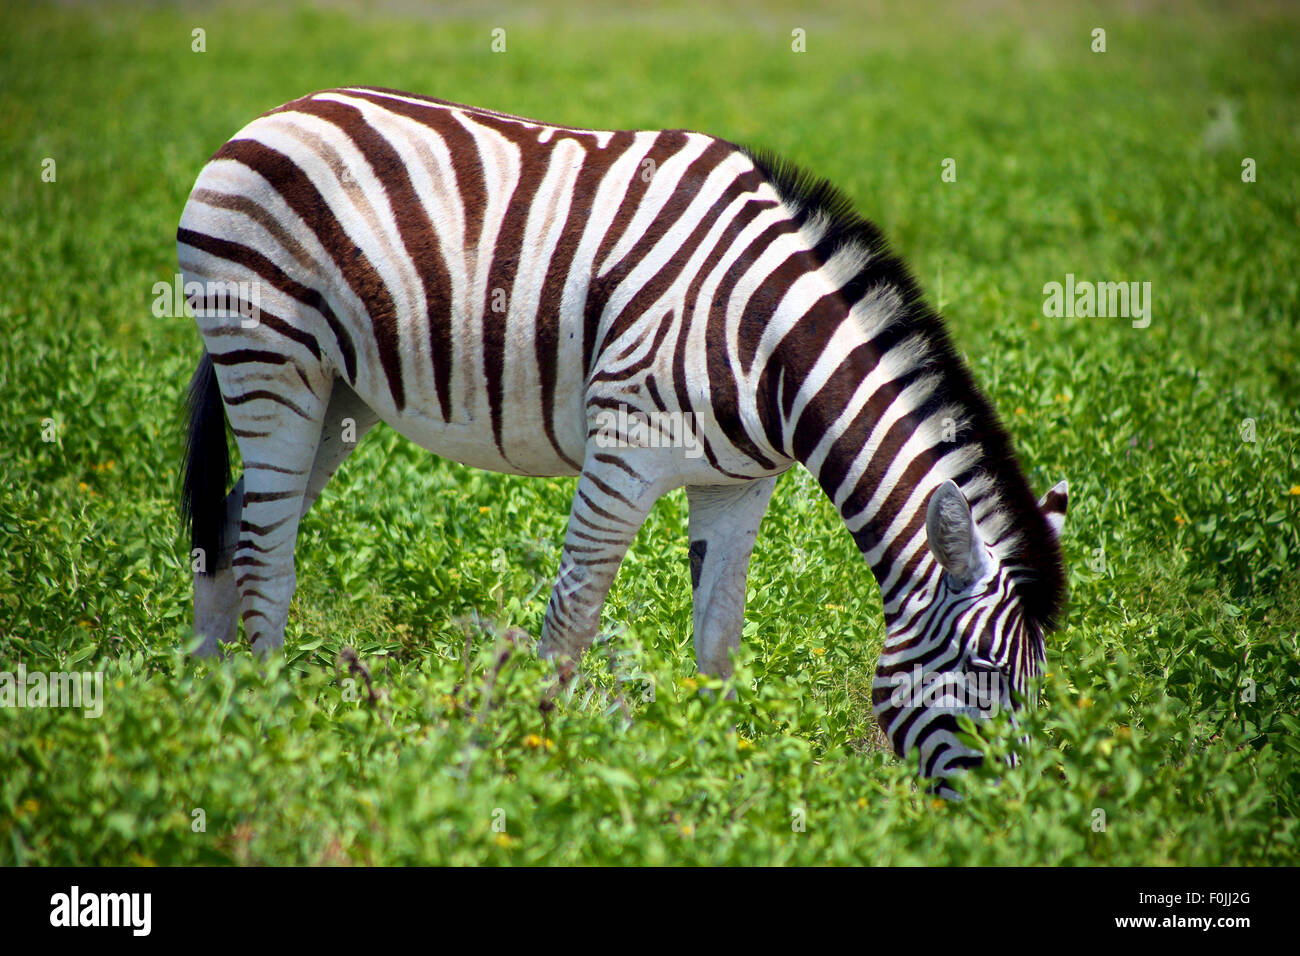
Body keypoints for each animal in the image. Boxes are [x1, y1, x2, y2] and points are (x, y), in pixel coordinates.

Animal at [178, 87, 1071, 790]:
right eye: (986, 674)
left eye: (1037, 686)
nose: (1005, 817)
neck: (771, 342)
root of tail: (276, 113)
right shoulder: (624, 452)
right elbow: (572, 620)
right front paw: (539, 756)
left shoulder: (739, 484)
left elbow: (717, 642)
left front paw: (722, 776)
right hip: (271, 358)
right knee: (263, 550)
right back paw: (269, 720)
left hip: (340, 392)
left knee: (228, 524)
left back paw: (208, 707)